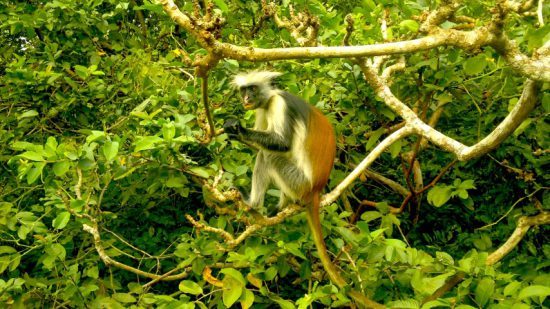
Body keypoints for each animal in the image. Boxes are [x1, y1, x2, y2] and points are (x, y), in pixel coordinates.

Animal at [224, 70, 340, 284]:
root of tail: (316, 189)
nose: (246, 98)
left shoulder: (279, 104)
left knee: (268, 156)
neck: (269, 99)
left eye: (253, 89)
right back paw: (281, 205)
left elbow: (282, 144)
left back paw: (253, 204)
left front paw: (239, 129)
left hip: (298, 181)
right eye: (244, 90)